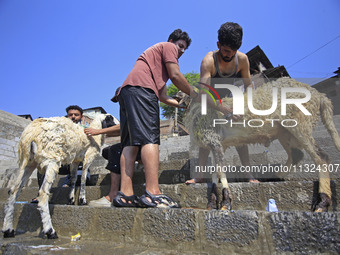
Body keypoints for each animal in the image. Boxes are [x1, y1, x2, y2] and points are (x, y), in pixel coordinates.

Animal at [183, 77, 340, 213]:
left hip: (300, 123)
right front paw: (212, 203)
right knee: (297, 155)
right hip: (285, 131)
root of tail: (320, 96)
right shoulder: (220, 143)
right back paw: (276, 176)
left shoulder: (214, 140)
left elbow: (220, 172)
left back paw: (322, 203)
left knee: (321, 157)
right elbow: (215, 172)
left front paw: (225, 203)